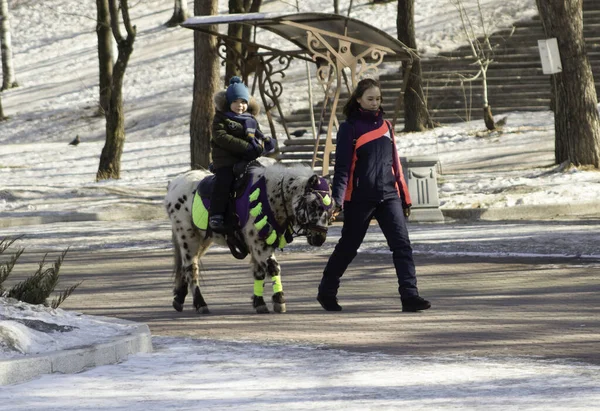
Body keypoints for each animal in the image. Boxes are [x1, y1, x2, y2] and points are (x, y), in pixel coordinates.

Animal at [164, 161, 332, 316]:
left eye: (330, 207)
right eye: (313, 204)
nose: (320, 238)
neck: (270, 196)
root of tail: (174, 184)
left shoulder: (258, 244)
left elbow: (259, 272)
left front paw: (260, 303)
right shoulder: (259, 244)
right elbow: (273, 267)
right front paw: (279, 300)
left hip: (203, 239)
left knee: (186, 266)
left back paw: (179, 298)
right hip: (188, 237)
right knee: (191, 268)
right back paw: (200, 304)